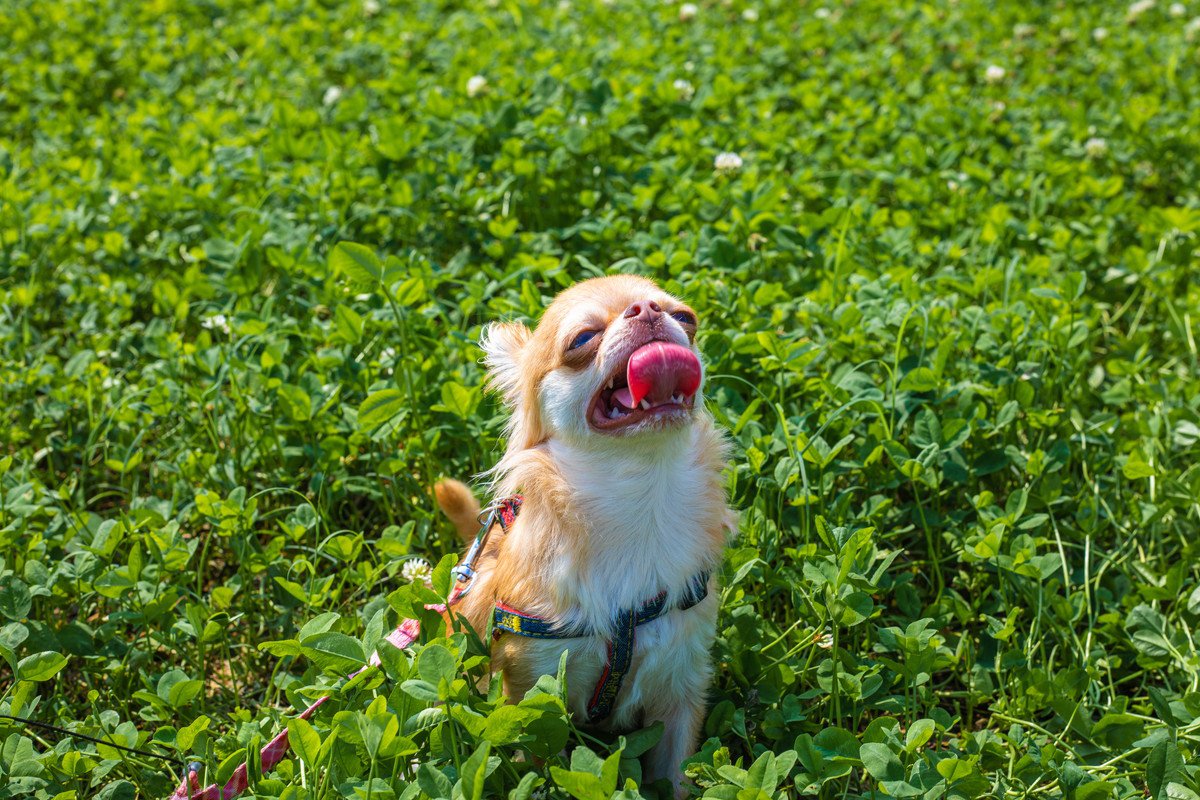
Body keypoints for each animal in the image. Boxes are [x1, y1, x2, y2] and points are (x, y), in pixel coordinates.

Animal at [432, 275, 729, 796]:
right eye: (582, 339)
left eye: (686, 318)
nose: (648, 309)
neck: (638, 504)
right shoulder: (532, 691)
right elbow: (534, 760)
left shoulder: (682, 686)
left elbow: (674, 773)